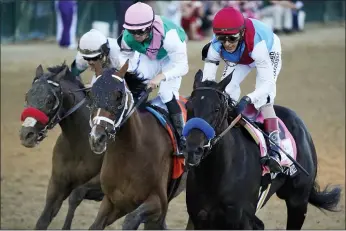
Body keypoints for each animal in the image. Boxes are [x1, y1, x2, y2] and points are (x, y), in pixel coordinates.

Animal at [88, 61, 188, 229]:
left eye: (119, 95)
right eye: (92, 94)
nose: (97, 138)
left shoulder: (158, 201)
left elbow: (131, 220)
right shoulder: (114, 201)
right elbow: (95, 225)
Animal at [182, 70, 342, 229]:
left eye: (216, 108)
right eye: (188, 106)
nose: (193, 150)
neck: (217, 175)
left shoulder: (242, 220)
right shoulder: (200, 218)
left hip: (298, 202)